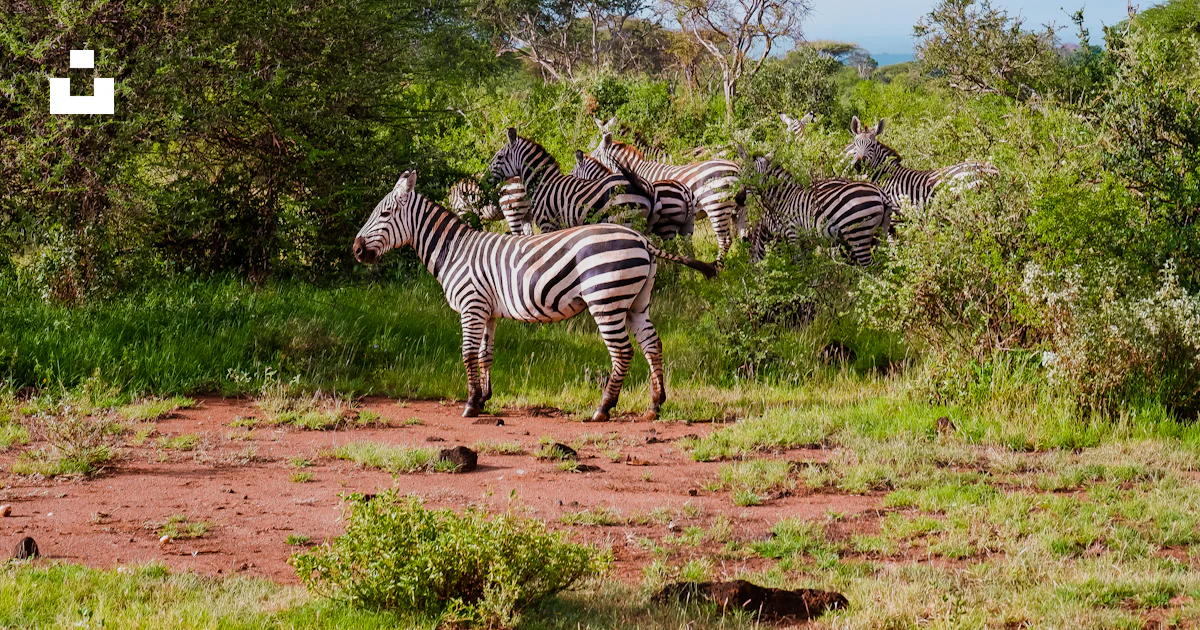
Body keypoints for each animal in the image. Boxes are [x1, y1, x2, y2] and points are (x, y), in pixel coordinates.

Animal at [352, 170, 717, 421]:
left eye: (384, 214)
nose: (355, 250)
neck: (454, 251)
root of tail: (642, 240)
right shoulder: (488, 311)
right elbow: (485, 355)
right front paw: (483, 398)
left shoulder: (471, 306)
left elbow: (467, 354)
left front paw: (470, 404)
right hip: (636, 303)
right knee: (652, 345)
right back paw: (655, 404)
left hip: (606, 299)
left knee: (622, 351)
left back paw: (603, 408)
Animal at [591, 132, 745, 260]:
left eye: (594, 155)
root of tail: (737, 168)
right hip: (738, 208)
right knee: (743, 236)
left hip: (716, 206)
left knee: (724, 240)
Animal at [749, 155, 893, 266]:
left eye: (750, 175)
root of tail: (880, 193)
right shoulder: (804, 240)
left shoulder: (791, 235)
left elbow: (798, 264)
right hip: (877, 233)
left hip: (857, 232)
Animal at [843, 116, 999, 212]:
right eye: (855, 144)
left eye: (873, 145)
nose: (859, 165)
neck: (887, 176)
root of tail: (991, 169)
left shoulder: (898, 207)